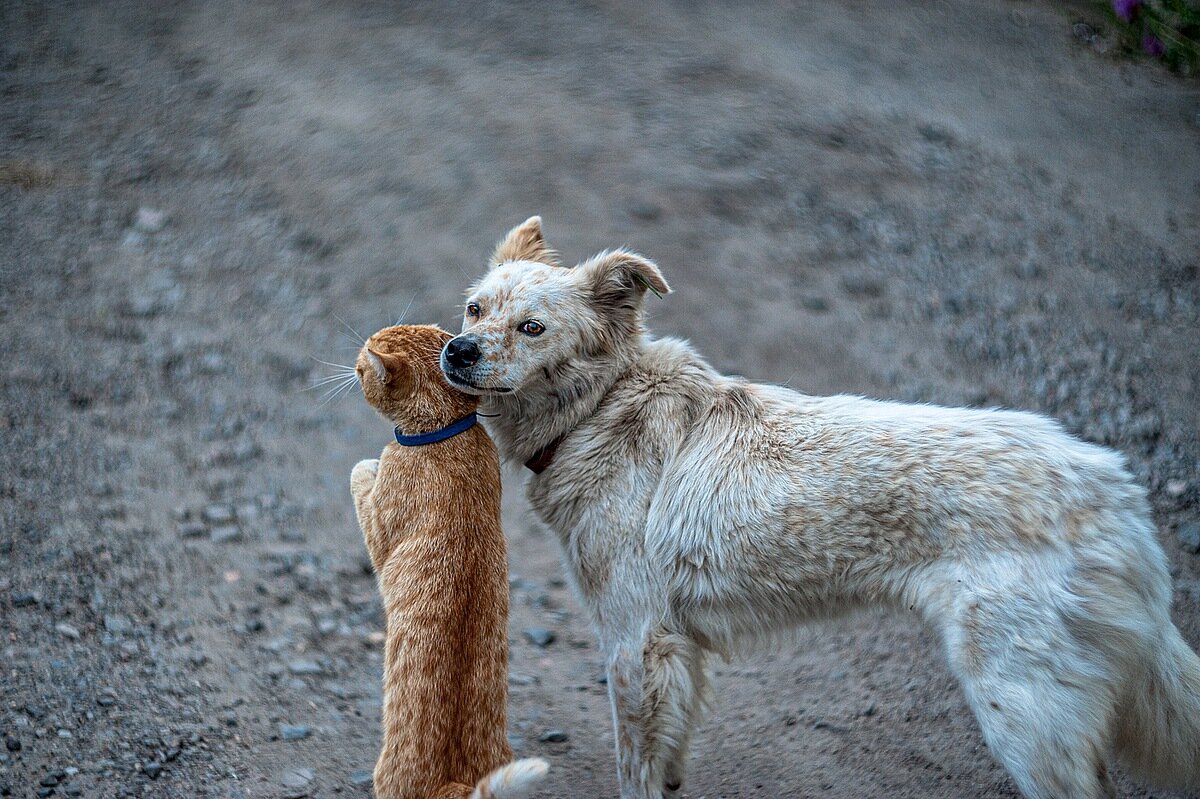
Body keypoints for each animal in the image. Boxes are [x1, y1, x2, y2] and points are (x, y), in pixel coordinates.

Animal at [350, 323, 549, 796]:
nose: (353, 364)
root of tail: (453, 785)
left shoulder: (380, 529)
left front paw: (368, 465)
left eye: (363, 367)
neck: (448, 433)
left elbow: (361, 473)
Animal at [441, 218, 1200, 796]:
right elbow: (671, 756)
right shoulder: (678, 652)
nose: (458, 350)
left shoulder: (637, 644)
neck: (601, 407)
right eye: (475, 309)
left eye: (533, 328)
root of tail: (1116, 492)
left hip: (1022, 709)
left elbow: (636, 769)